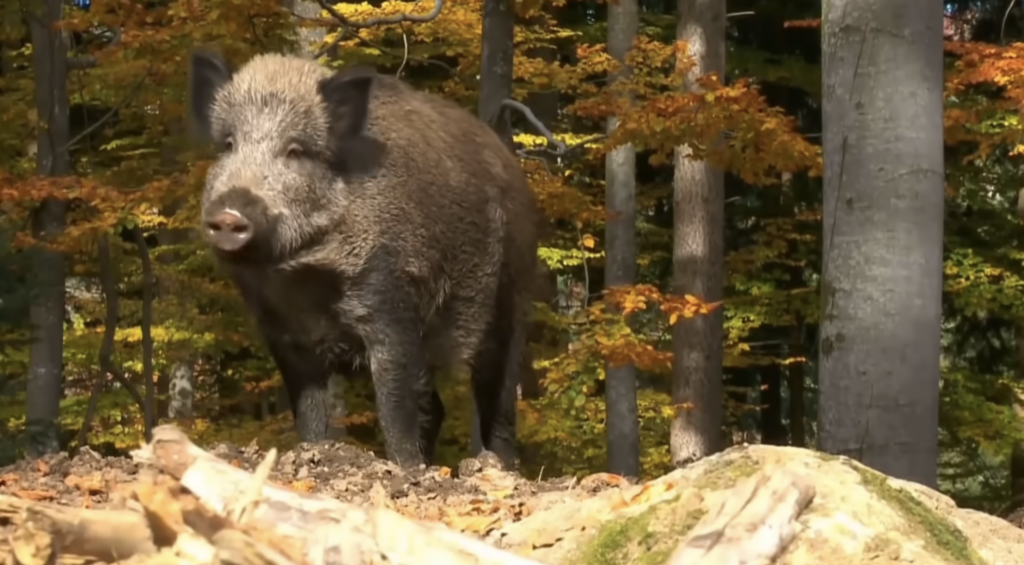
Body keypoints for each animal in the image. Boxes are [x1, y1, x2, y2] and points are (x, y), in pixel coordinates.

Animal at [186, 50, 539, 469]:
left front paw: (406, 469)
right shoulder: (285, 335)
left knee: (497, 399)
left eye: (295, 151)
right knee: (437, 407)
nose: (229, 214)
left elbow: (395, 408)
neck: (303, 280)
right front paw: (314, 452)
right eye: (228, 144)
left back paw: (500, 466)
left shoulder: (391, 307)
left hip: (511, 297)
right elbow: (310, 413)